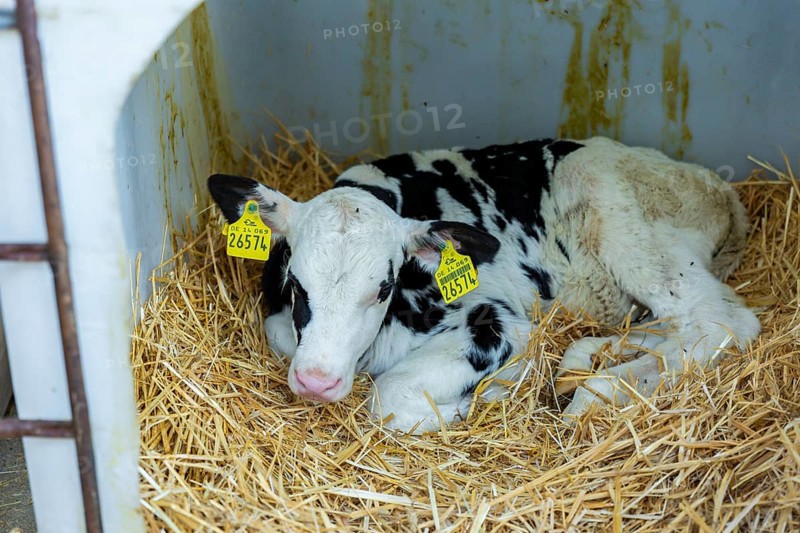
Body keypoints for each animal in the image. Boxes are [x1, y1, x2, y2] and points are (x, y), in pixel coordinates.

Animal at [207, 136, 760, 433]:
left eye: (383, 288)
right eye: (295, 282)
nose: (316, 382)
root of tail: (718, 188)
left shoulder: (499, 321)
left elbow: (387, 396)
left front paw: (484, 397)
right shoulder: (280, 324)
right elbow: (285, 338)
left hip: (624, 224)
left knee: (723, 321)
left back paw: (595, 391)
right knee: (677, 324)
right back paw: (584, 361)